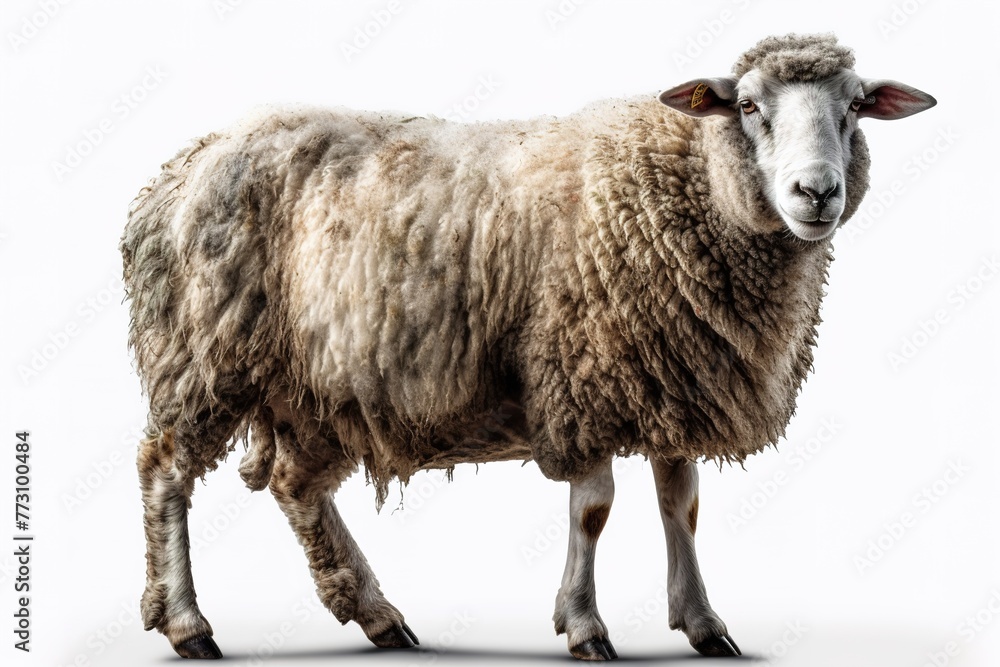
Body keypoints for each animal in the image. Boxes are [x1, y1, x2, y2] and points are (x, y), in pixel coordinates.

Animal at [121, 33, 935, 661]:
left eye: (854, 107)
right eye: (747, 106)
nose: (816, 192)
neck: (688, 188)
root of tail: (182, 165)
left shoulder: (670, 378)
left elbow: (681, 506)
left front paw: (704, 623)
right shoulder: (585, 373)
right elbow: (595, 508)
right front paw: (585, 626)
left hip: (312, 386)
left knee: (295, 486)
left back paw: (377, 614)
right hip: (203, 351)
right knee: (165, 470)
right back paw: (189, 624)